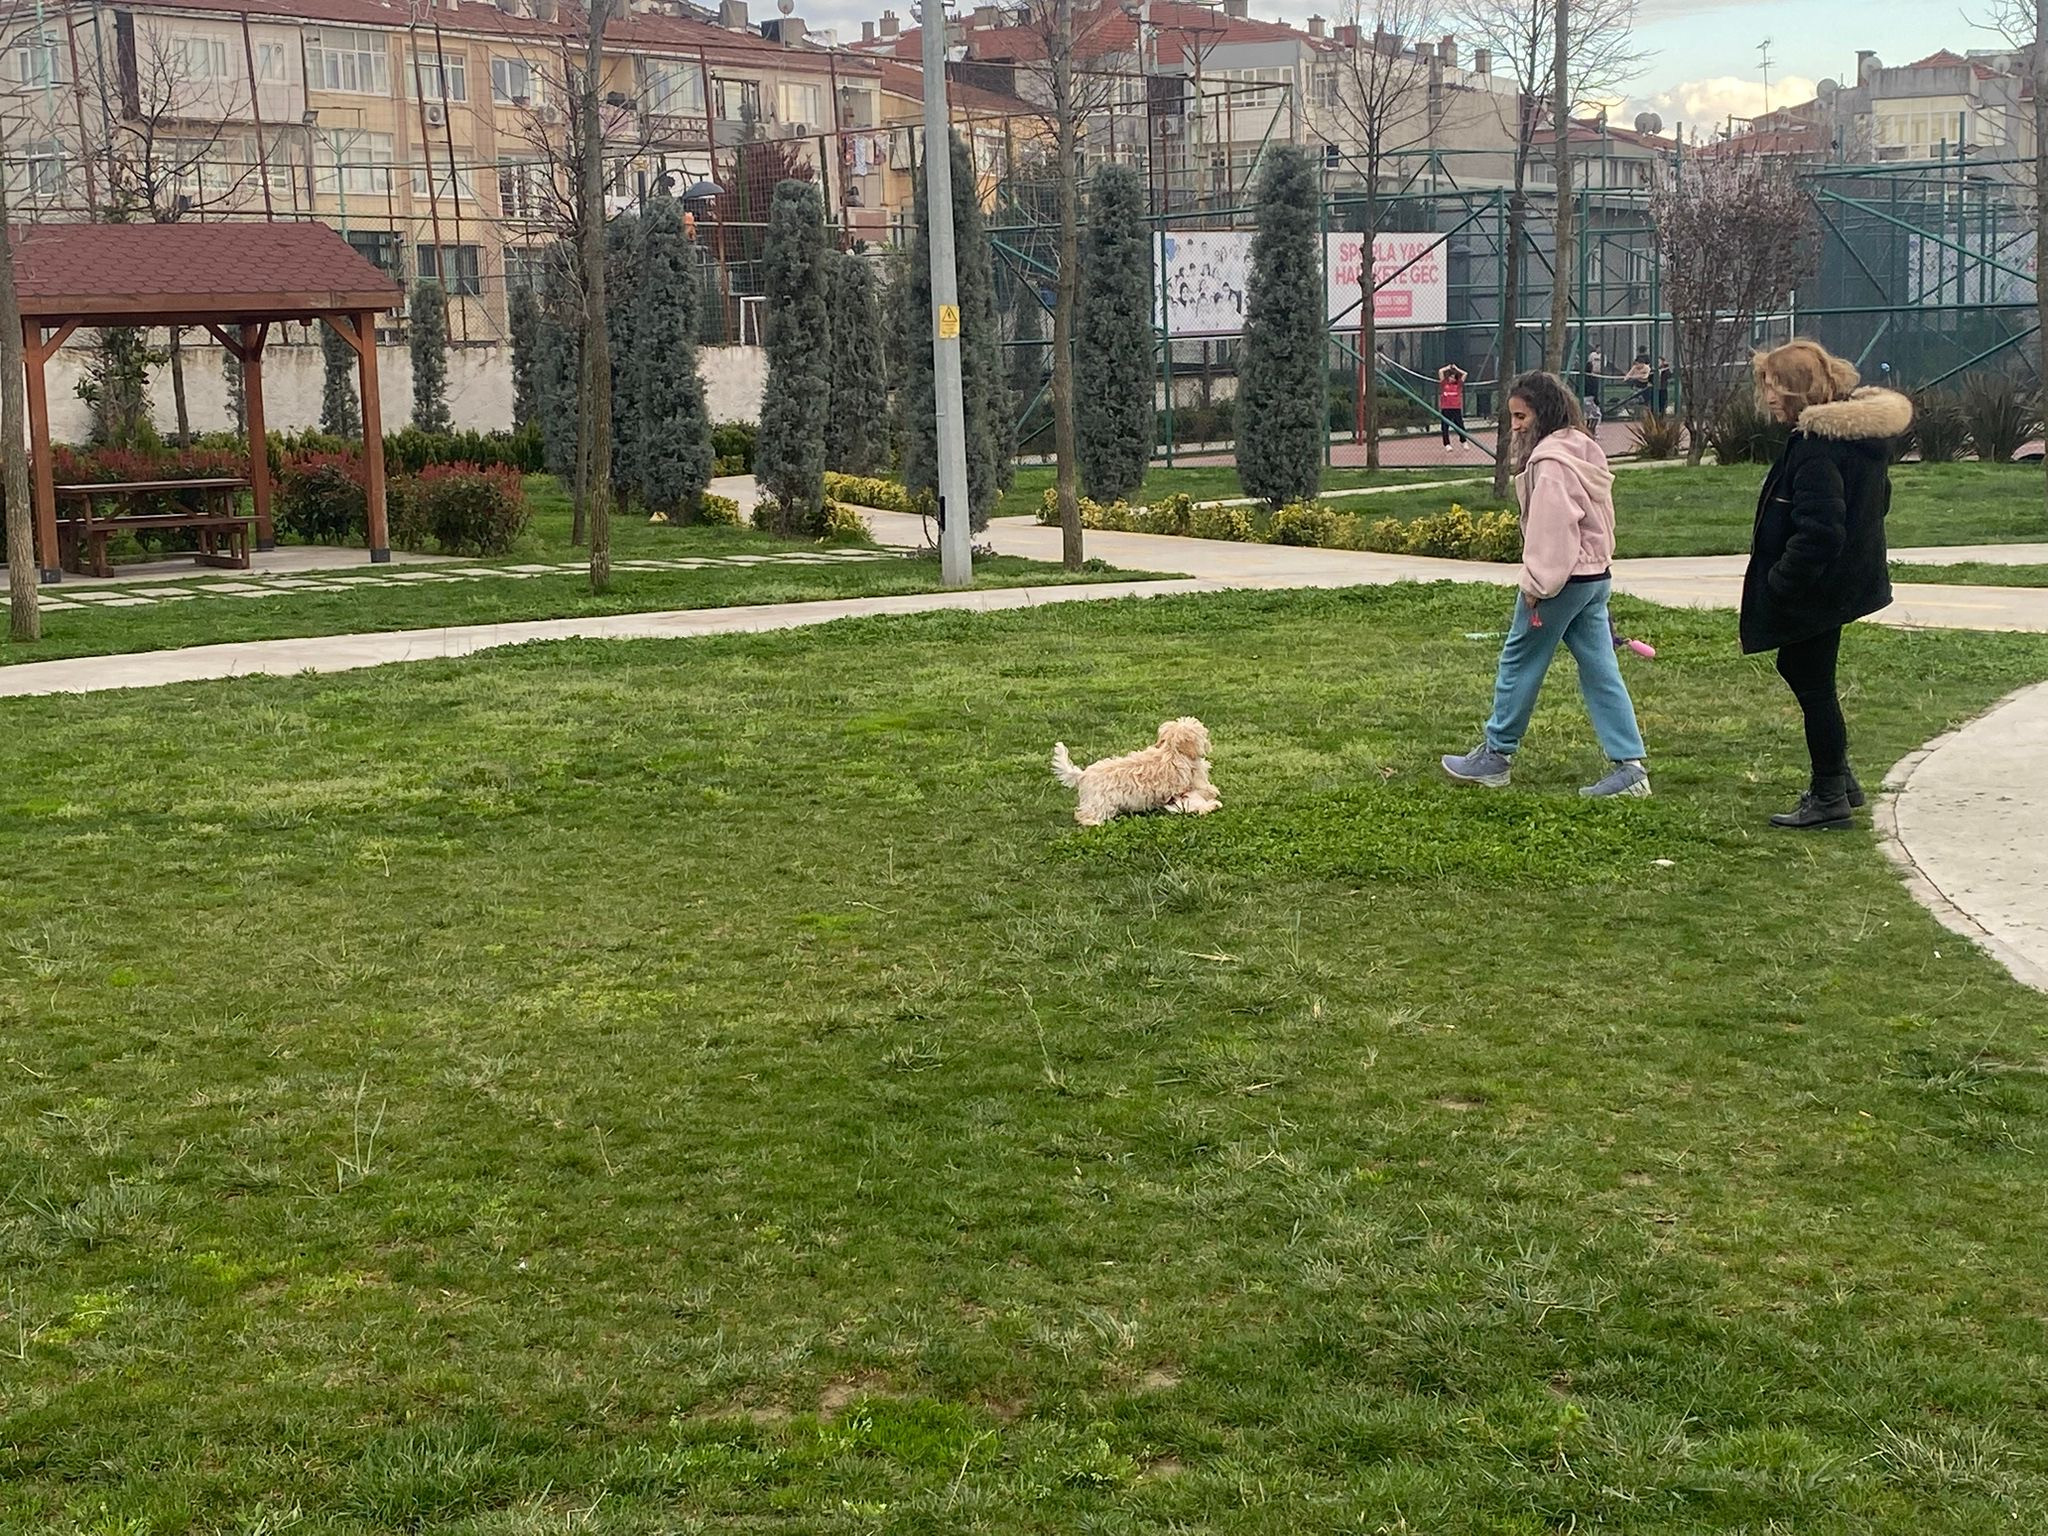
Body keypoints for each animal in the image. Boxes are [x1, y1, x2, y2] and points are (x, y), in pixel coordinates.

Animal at [1051, 717, 1221, 827]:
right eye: (1203, 736)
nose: (1208, 744)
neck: (1172, 751)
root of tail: (1083, 775)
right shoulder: (1196, 780)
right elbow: (1208, 789)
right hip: (1098, 803)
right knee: (1084, 815)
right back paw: (1093, 823)